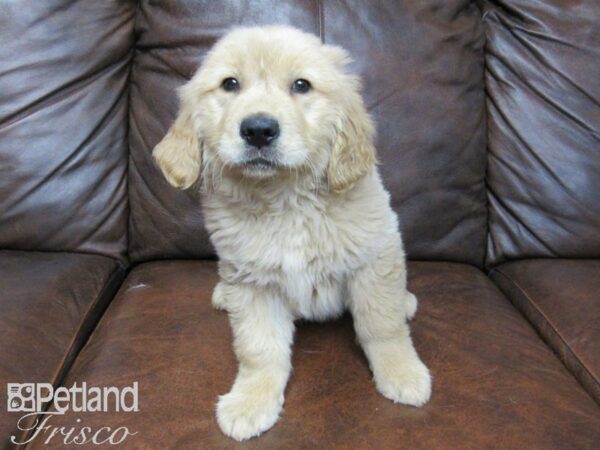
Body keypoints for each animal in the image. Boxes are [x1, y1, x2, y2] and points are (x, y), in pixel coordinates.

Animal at [152, 25, 428, 442]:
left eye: (302, 85)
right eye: (230, 84)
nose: (258, 130)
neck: (285, 200)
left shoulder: (374, 256)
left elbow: (382, 324)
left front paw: (403, 372)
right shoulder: (251, 283)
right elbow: (259, 349)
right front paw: (251, 402)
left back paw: (406, 301)